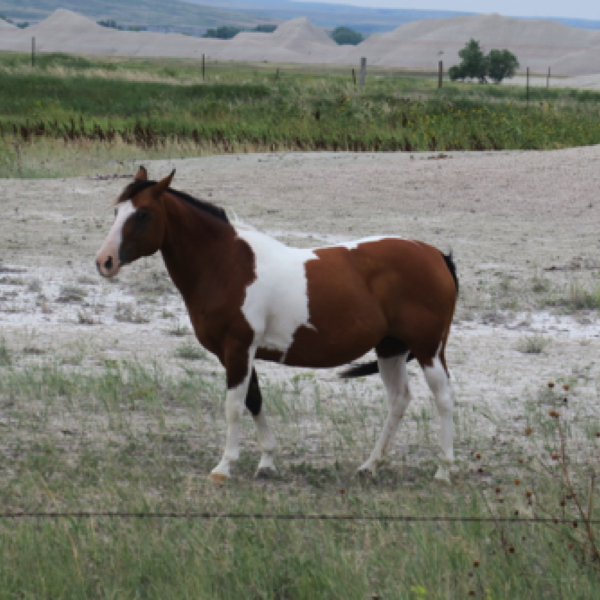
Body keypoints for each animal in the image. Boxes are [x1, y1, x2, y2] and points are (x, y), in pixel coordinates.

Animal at [95, 166, 460, 486]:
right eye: (116, 212)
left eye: (142, 214)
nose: (104, 262)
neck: (228, 266)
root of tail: (437, 255)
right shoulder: (239, 353)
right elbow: (254, 400)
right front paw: (267, 462)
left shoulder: (238, 349)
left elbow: (234, 407)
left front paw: (224, 467)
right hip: (390, 348)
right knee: (399, 400)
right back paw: (370, 466)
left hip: (428, 349)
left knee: (443, 399)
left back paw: (443, 470)